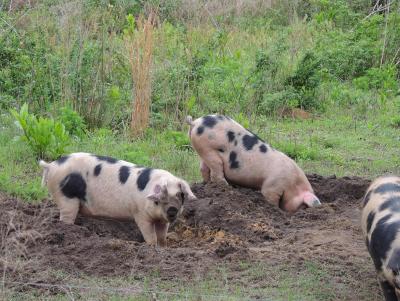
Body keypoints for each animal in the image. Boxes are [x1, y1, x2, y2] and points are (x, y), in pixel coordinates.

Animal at [39, 152, 196, 246]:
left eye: (179, 195)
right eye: (161, 198)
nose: (172, 209)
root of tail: (51, 165)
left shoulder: (163, 221)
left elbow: (162, 236)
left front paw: (163, 248)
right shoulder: (141, 215)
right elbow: (150, 236)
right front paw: (152, 247)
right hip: (66, 198)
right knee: (66, 218)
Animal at [184, 113, 318, 212]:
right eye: (304, 206)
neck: (293, 184)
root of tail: (195, 122)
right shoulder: (272, 186)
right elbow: (270, 198)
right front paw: (275, 210)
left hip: (202, 150)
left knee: (204, 169)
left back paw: (208, 185)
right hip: (208, 149)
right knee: (216, 172)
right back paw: (228, 188)